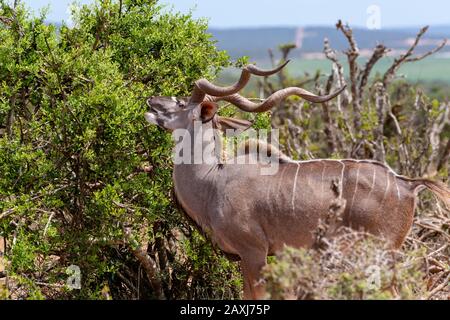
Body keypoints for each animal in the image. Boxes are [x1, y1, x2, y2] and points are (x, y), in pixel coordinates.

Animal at [144, 62, 450, 300]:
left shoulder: (254, 253)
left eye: (181, 102)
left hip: (380, 253)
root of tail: (407, 184)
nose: (151, 101)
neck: (213, 181)